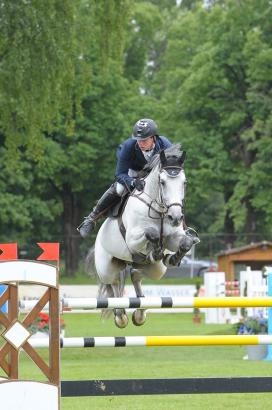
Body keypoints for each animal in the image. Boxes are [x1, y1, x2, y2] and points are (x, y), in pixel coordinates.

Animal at [86, 144, 199, 326]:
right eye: (162, 182)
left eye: (184, 182)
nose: (175, 217)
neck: (160, 210)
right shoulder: (132, 239)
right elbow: (151, 233)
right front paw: (156, 250)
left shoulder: (173, 237)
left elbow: (185, 243)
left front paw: (172, 257)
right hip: (106, 267)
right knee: (114, 283)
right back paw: (120, 315)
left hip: (156, 270)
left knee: (135, 274)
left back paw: (140, 313)